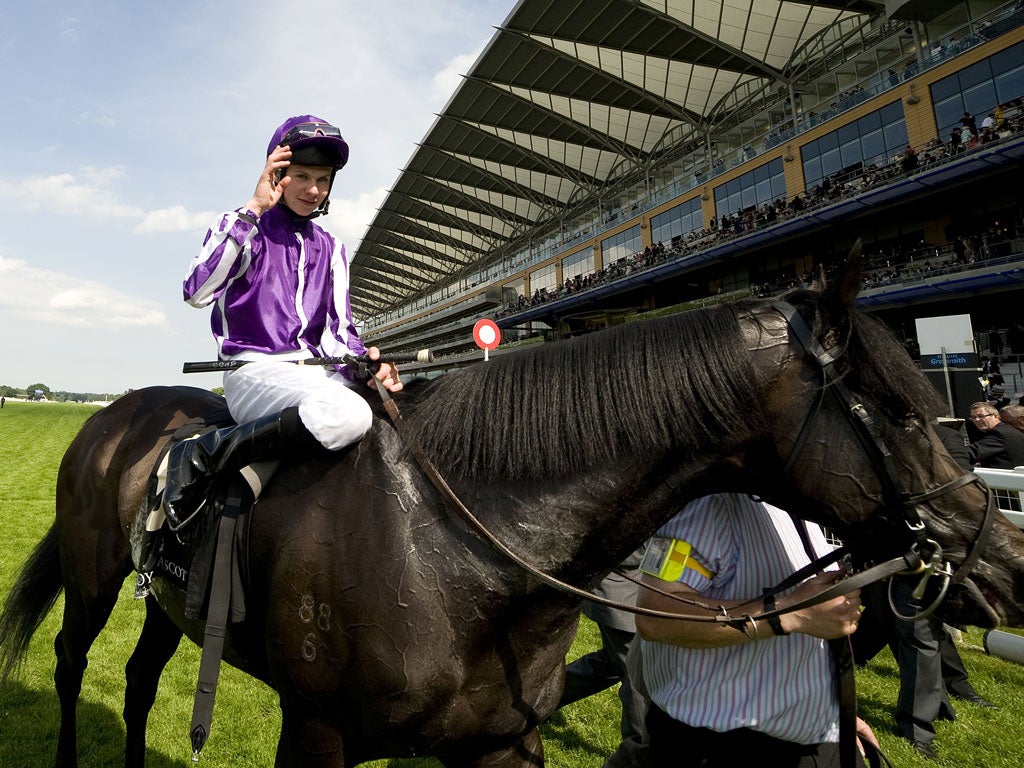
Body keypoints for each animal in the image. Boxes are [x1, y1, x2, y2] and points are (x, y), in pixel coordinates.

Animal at [6, 253, 1024, 768]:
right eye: (900, 410)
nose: (1004, 557)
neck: (457, 558)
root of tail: (117, 413)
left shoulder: (498, 746)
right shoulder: (320, 735)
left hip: (169, 605)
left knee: (140, 677)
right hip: (95, 579)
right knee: (69, 660)